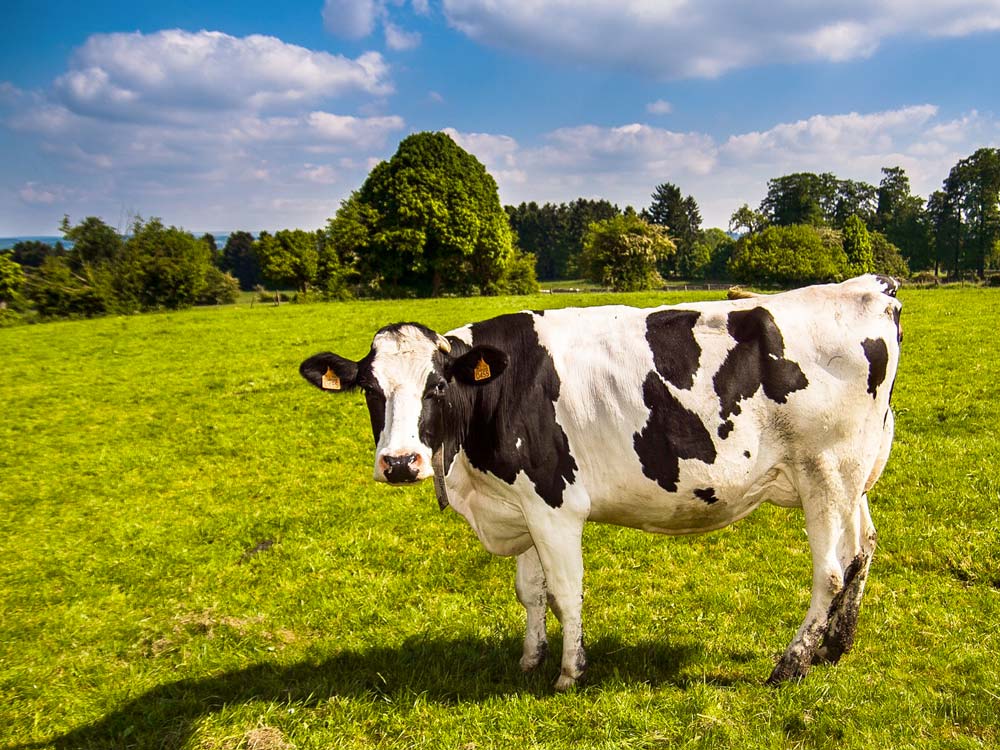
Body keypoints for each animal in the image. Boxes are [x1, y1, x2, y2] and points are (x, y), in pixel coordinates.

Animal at [299, 275, 902, 690]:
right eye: (371, 390)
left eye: (437, 386)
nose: (400, 462)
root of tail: (870, 287)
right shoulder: (520, 503)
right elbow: (530, 591)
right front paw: (530, 658)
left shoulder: (553, 503)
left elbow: (565, 590)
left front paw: (569, 671)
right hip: (851, 477)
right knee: (862, 549)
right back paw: (835, 646)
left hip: (825, 472)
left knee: (830, 571)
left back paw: (792, 663)